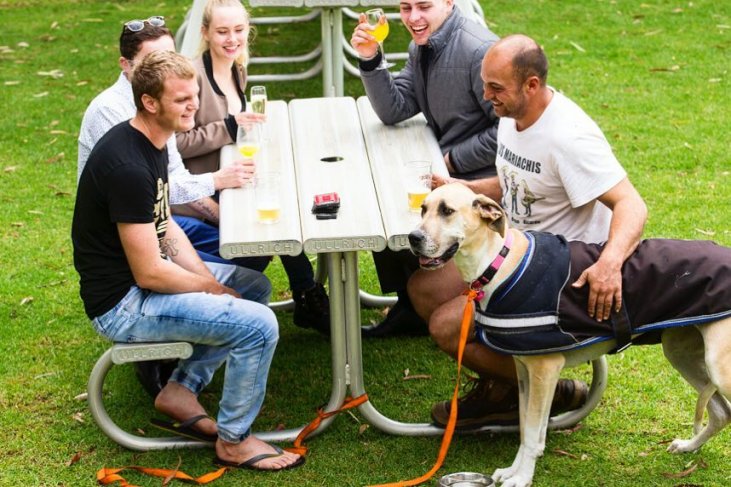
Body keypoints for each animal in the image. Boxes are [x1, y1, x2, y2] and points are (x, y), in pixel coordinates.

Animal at [408, 184, 728, 487]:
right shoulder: (524, 371)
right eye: (423, 209)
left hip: (718, 367)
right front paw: (514, 471)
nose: (413, 237)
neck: (498, 261)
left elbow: (533, 434)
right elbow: (527, 430)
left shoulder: (545, 371)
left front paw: (522, 478)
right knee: (722, 412)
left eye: (447, 211)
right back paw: (689, 447)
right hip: (681, 353)